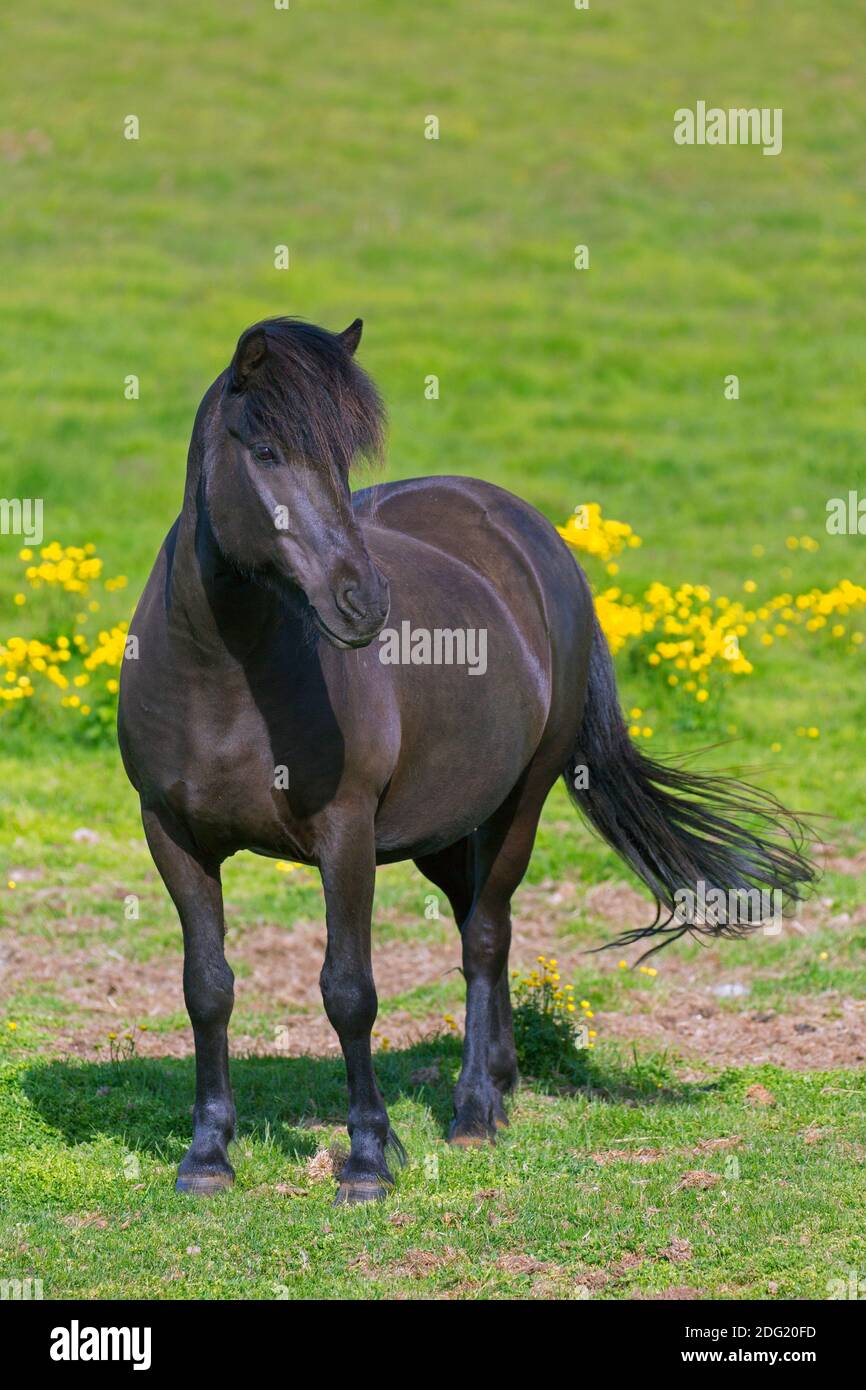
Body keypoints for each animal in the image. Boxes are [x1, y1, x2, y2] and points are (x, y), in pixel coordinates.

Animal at [116, 319, 811, 1200]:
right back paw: (501, 1079)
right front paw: (208, 1156)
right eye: (266, 452)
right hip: (443, 832)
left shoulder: (345, 836)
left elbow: (349, 992)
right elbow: (207, 989)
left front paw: (367, 1161)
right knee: (480, 923)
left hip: (521, 802)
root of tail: (529, 531)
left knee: (485, 936)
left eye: (342, 463)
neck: (222, 677)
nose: (361, 601)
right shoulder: (172, 835)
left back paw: (476, 1109)